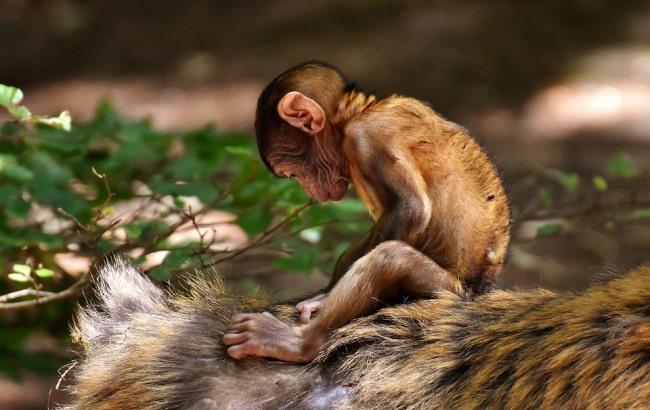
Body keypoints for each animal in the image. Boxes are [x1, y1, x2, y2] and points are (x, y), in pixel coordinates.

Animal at [225, 60, 508, 362]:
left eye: (292, 171)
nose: (309, 190)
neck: (359, 113)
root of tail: (481, 290)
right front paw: (325, 291)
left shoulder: (366, 137)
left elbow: (410, 209)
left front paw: (323, 300)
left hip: (445, 290)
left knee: (390, 258)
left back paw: (301, 343)